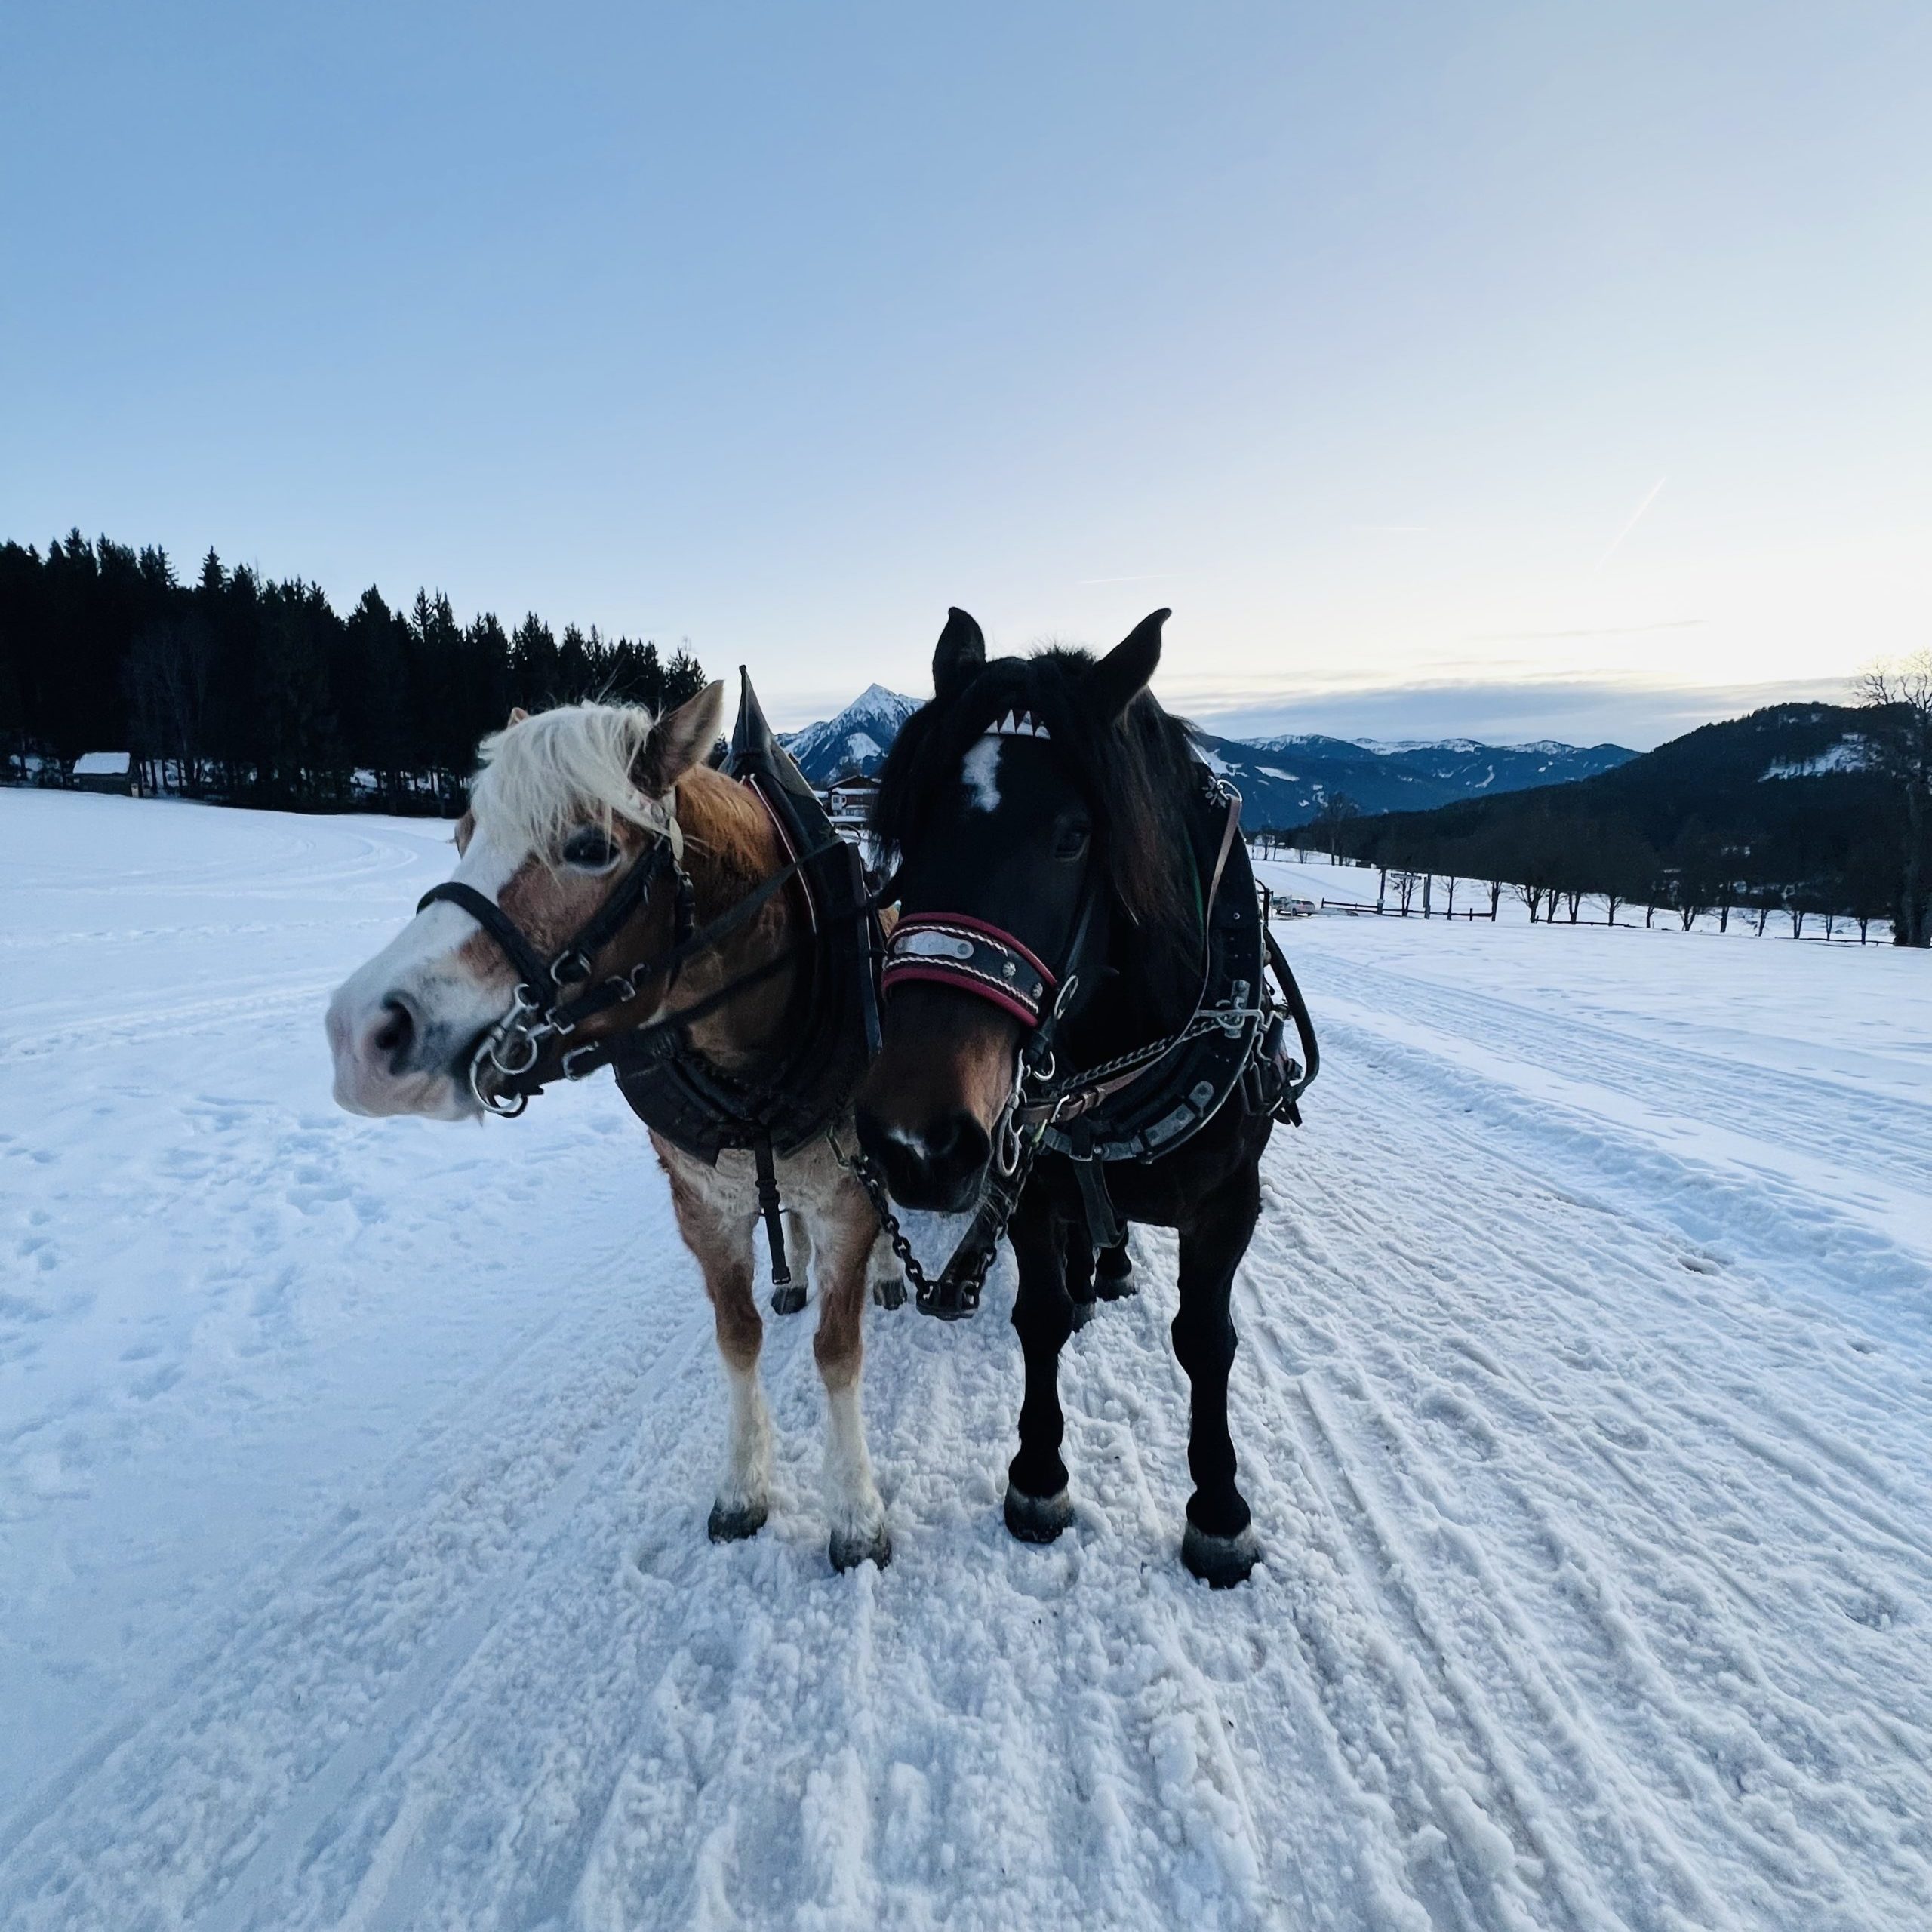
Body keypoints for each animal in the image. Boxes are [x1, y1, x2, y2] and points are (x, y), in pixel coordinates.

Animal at [328, 688, 900, 1576]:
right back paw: (794, 1273)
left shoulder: (846, 1194)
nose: (362, 1035)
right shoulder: (702, 1206)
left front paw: (856, 1511)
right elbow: (737, 1338)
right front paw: (743, 1485)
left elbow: (838, 1352)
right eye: (462, 835)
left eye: (591, 847)